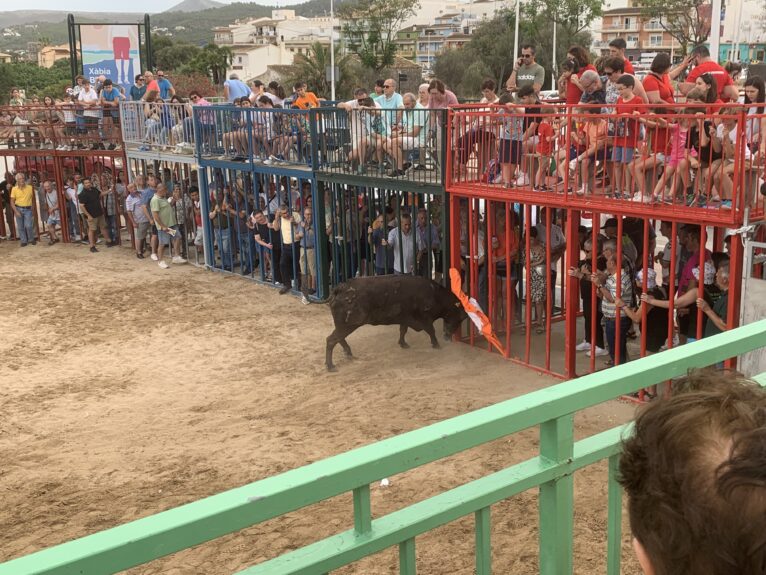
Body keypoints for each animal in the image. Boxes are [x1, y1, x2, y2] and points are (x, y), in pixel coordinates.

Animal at [326, 276, 468, 372]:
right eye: (459, 317)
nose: (448, 336)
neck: (435, 295)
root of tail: (340, 288)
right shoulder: (424, 319)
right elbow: (431, 331)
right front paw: (436, 344)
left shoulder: (405, 318)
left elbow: (403, 330)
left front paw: (403, 343)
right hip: (348, 325)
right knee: (331, 340)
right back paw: (330, 366)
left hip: (344, 325)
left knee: (339, 338)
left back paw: (348, 353)